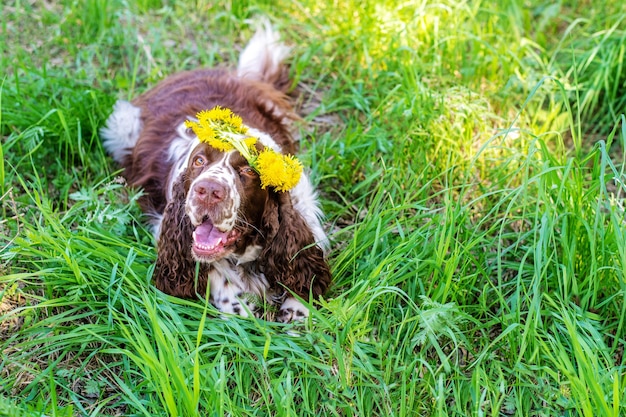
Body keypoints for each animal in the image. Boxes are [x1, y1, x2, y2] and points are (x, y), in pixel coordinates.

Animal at [100, 22, 330, 322]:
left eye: (248, 170)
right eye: (199, 161)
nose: (208, 191)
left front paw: (296, 314)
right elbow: (221, 279)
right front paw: (240, 306)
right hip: (121, 126)